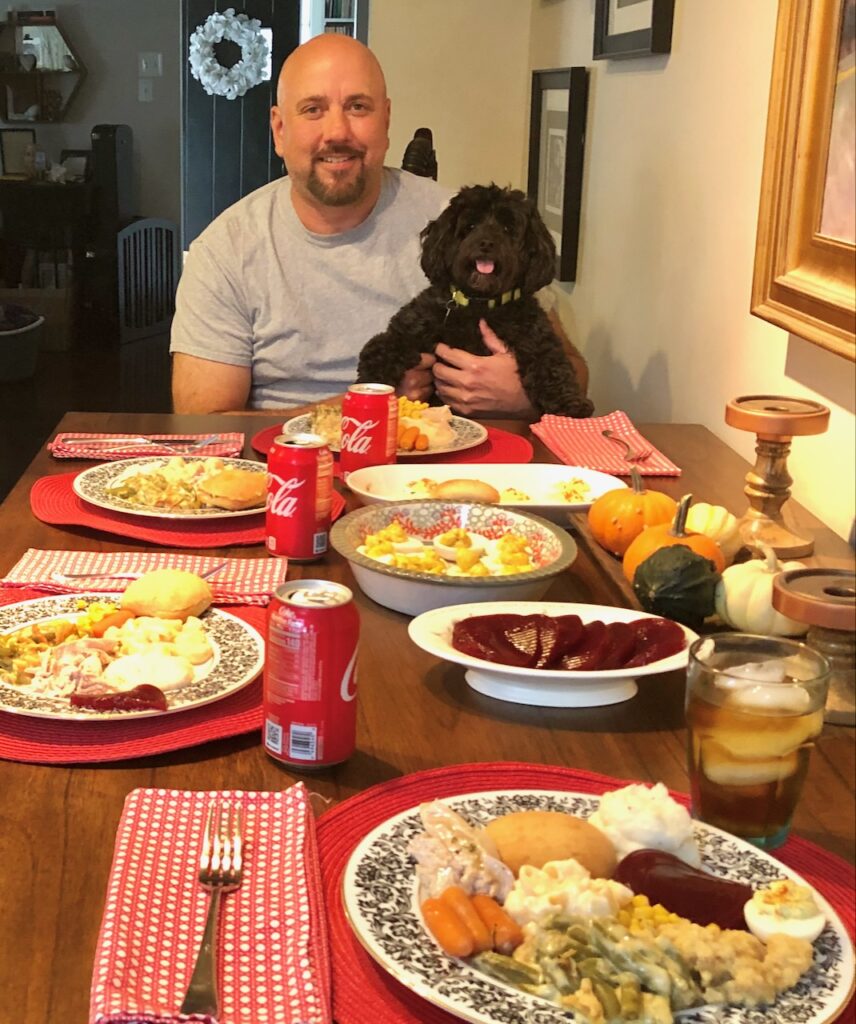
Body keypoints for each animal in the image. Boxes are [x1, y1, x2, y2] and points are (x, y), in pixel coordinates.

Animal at [358, 186, 593, 417]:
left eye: (507, 228)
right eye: (470, 226)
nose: (486, 243)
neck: (479, 303)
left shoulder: (537, 338)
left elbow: (553, 366)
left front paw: (571, 403)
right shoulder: (408, 330)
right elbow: (382, 349)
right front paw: (370, 388)